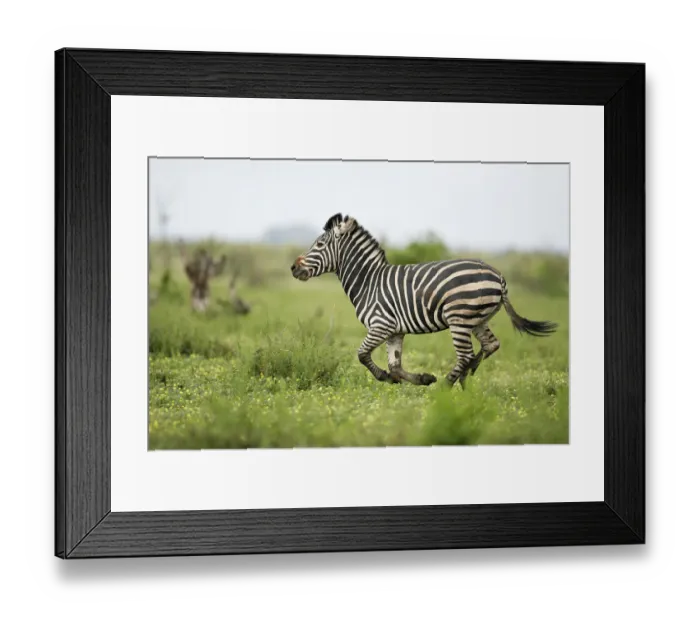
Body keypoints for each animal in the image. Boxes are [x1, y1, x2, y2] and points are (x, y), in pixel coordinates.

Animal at [290, 214, 557, 387]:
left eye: (320, 244)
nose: (293, 268)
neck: (368, 281)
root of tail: (499, 277)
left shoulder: (380, 325)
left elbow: (362, 355)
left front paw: (386, 378)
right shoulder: (394, 331)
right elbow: (395, 365)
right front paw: (421, 379)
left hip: (459, 318)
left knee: (466, 355)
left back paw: (446, 387)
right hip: (478, 319)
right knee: (490, 345)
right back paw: (466, 382)